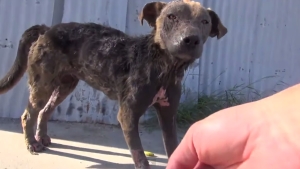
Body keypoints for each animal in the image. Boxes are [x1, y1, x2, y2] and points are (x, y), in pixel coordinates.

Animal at [0, 0, 226, 168]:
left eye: (205, 21)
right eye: (172, 17)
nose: (191, 40)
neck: (163, 66)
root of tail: (46, 30)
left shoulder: (168, 114)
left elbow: (174, 148)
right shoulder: (128, 115)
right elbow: (140, 157)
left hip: (65, 86)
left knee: (45, 111)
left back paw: (42, 137)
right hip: (43, 85)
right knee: (29, 114)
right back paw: (32, 143)